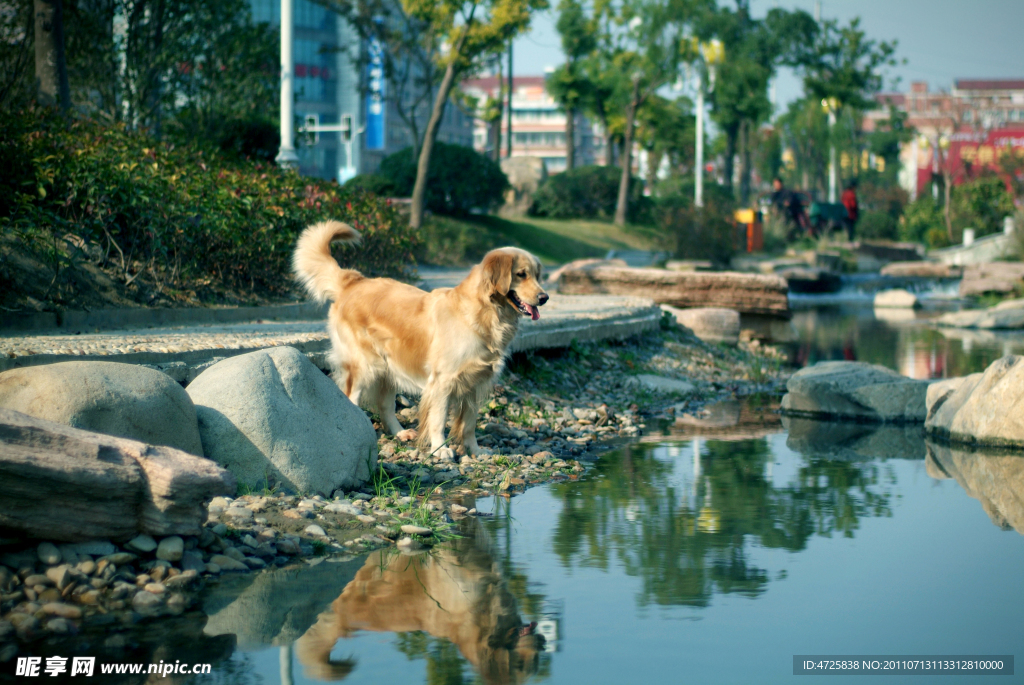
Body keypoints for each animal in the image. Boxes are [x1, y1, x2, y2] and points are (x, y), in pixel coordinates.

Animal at [294, 220, 548, 454]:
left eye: (537, 276)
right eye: (521, 274)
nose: (544, 297)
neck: (484, 313)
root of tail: (353, 281)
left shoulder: (475, 385)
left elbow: (469, 424)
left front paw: (474, 451)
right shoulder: (443, 380)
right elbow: (438, 418)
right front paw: (439, 449)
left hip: (388, 369)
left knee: (385, 406)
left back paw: (400, 433)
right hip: (364, 366)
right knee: (352, 398)